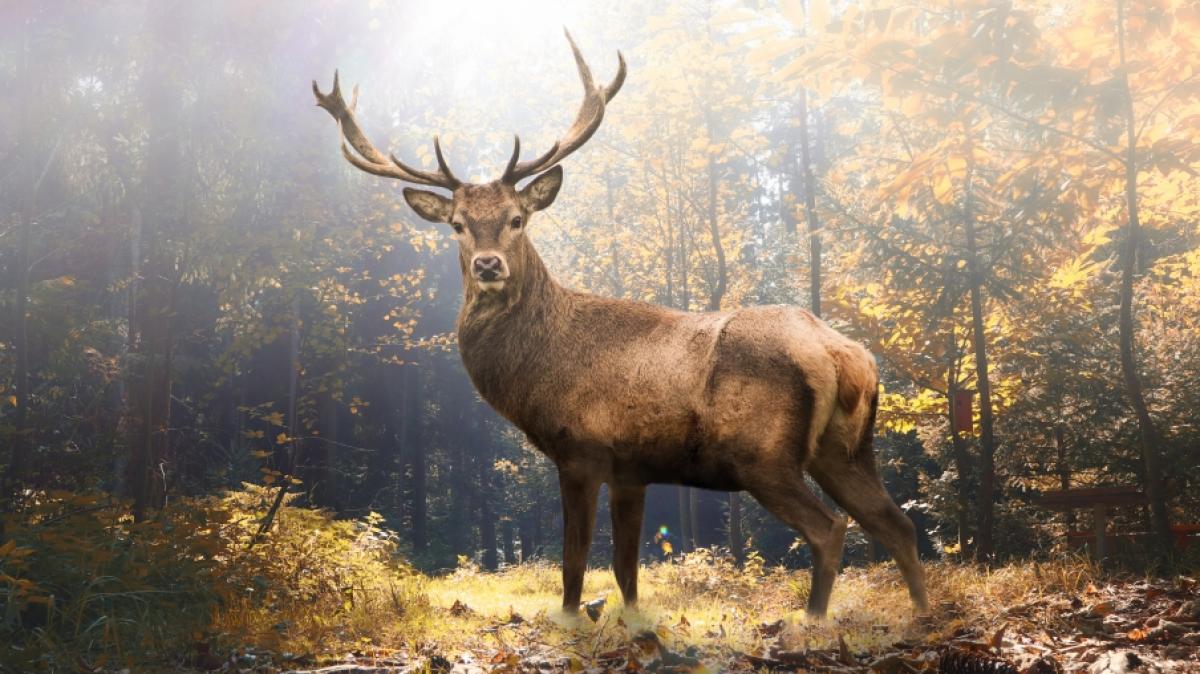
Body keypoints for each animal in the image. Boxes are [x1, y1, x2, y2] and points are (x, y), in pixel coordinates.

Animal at [313, 31, 929, 618]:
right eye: (458, 225)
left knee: (831, 529)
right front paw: (631, 623)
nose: (489, 265)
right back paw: (922, 614)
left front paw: (570, 622)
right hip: (846, 449)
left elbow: (574, 562)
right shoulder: (634, 468)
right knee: (898, 522)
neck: (537, 370)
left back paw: (816, 620)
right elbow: (627, 569)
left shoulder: (581, 449)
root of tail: (845, 355)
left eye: (517, 218)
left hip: (764, 453)